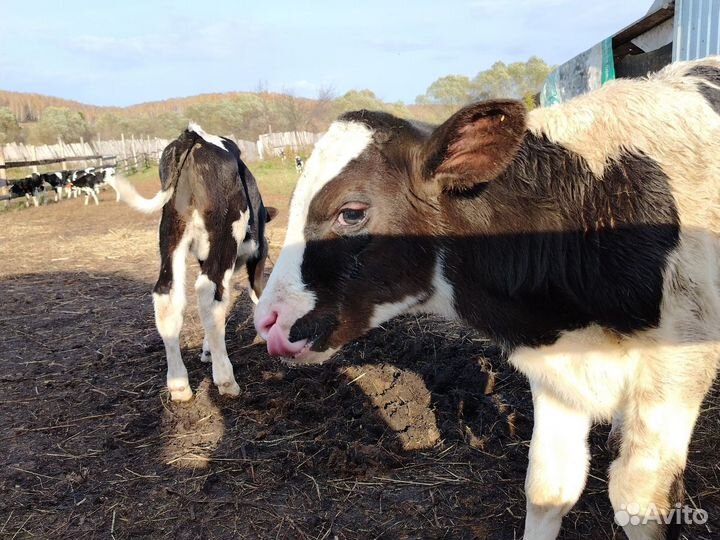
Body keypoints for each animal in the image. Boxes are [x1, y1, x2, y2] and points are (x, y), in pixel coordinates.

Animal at [108, 122, 278, 400]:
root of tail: (193, 135)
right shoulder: (258, 255)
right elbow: (257, 292)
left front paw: (207, 350)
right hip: (224, 236)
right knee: (209, 294)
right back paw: (226, 380)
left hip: (171, 234)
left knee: (168, 296)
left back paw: (179, 385)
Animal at [256, 59, 720, 540]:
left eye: (351, 213)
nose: (267, 320)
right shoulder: (557, 367)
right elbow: (549, 486)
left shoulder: (682, 360)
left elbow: (639, 500)